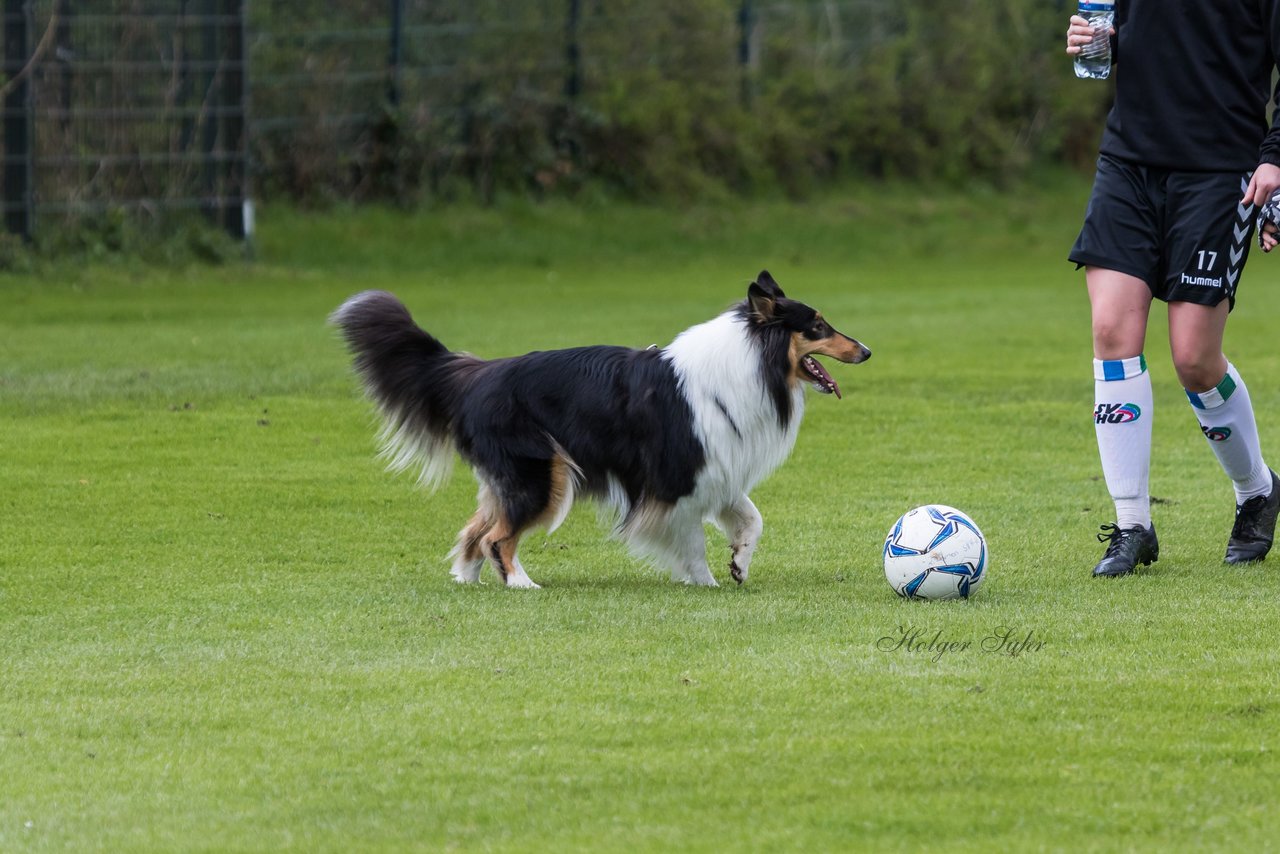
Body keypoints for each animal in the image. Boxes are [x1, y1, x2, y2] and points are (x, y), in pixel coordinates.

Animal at [332, 273, 870, 588]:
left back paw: (466, 579)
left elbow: (752, 519)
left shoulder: (715, 469)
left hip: (514, 478)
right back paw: (521, 584)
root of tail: (477, 374)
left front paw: (739, 562)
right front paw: (704, 583)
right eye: (818, 326)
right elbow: (692, 540)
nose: (866, 350)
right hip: (544, 476)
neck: (750, 362)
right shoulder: (677, 480)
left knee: (475, 529)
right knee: (497, 537)